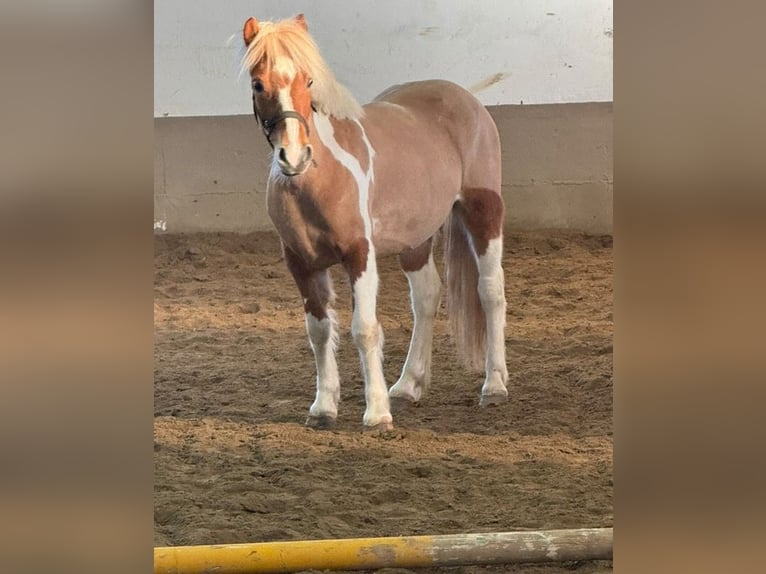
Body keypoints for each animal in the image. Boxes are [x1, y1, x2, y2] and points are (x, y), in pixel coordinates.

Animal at [241, 14, 508, 431]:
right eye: (258, 83)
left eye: (309, 81)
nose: (295, 157)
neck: (321, 180)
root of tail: (465, 98)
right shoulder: (301, 262)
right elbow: (320, 330)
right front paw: (323, 408)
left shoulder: (359, 255)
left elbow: (364, 329)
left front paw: (377, 413)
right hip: (415, 239)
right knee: (426, 296)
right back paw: (409, 385)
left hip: (483, 211)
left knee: (491, 291)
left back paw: (494, 385)